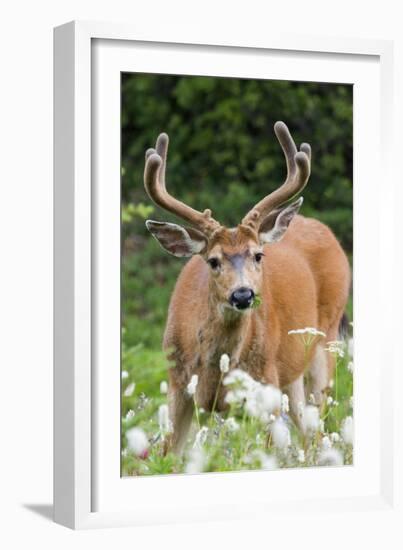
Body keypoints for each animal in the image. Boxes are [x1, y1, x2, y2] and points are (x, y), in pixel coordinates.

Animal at [144, 123, 352, 454]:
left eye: (258, 255)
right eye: (213, 261)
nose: (242, 294)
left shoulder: (266, 384)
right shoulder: (177, 383)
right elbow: (167, 454)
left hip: (325, 341)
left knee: (316, 433)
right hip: (291, 376)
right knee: (307, 434)